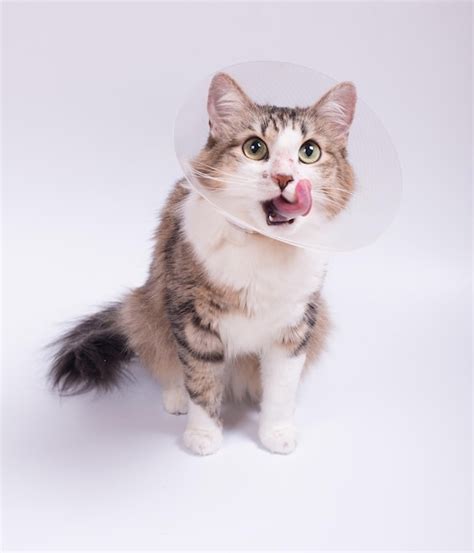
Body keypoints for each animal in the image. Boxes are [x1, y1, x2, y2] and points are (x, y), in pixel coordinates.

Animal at [51, 72, 356, 452]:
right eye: (255, 148)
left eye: (309, 152)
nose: (285, 178)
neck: (264, 247)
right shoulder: (193, 321)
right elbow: (202, 381)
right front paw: (203, 436)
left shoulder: (296, 326)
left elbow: (281, 389)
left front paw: (277, 433)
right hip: (143, 308)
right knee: (169, 366)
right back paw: (176, 398)